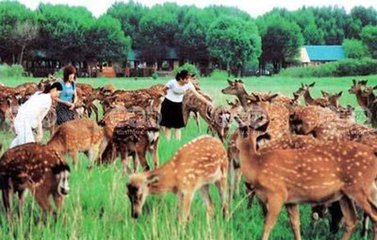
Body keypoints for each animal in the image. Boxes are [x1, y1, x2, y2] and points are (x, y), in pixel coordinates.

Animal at [235, 109, 377, 240]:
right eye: (241, 127)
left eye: (248, 128)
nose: (239, 120)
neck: (257, 166)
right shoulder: (290, 200)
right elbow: (295, 224)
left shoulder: (277, 194)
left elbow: (267, 226)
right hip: (346, 194)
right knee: (352, 220)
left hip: (359, 188)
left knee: (373, 215)